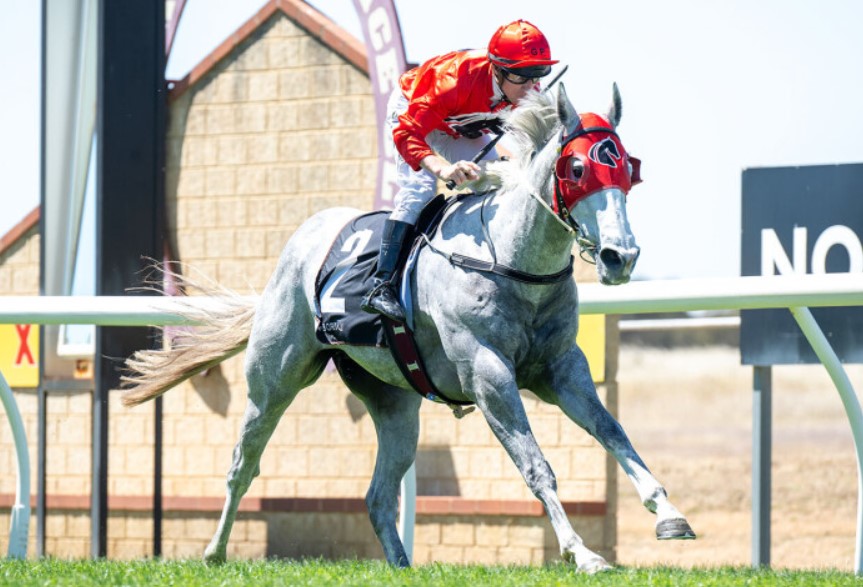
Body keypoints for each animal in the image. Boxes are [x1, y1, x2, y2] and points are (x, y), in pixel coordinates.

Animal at [121, 84, 696, 576]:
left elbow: (614, 432)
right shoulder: (488, 375)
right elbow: (537, 466)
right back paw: (214, 552)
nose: (621, 256)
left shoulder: (561, 369)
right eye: (577, 167)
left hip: (395, 403)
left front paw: (669, 514)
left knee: (378, 495)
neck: (511, 259)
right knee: (244, 463)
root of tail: (304, 238)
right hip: (275, 380)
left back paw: (401, 564)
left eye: (628, 169)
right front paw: (584, 553)